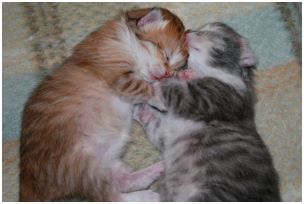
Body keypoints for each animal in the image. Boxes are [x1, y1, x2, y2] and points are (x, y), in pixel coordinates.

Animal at [19, 7, 188, 202]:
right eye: (166, 56)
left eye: (174, 68)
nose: (167, 74)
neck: (126, 41)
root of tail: (28, 183)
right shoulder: (119, 76)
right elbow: (146, 87)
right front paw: (163, 93)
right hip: (81, 164)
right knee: (111, 196)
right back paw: (150, 195)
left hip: (106, 163)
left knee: (122, 182)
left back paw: (155, 170)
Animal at [134, 22, 282, 201]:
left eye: (211, 32)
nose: (188, 31)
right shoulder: (165, 133)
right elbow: (154, 121)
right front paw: (140, 108)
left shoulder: (204, 98)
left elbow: (170, 88)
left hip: (211, 195)